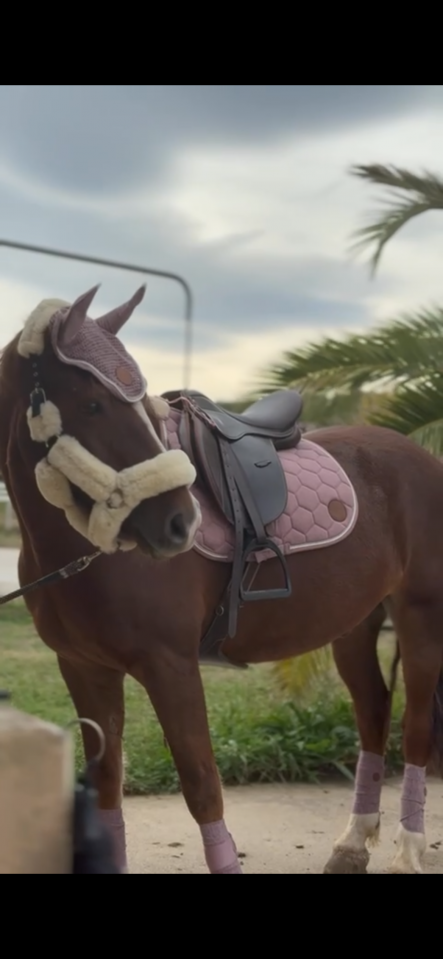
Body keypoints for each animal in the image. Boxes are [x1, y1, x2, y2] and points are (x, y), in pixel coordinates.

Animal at [1, 282, 442, 876]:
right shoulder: (84, 669)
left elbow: (202, 784)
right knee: (373, 714)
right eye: (92, 403)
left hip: (420, 617)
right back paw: (350, 845)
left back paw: (408, 849)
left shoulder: (171, 666)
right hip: (354, 624)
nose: (179, 522)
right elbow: (109, 787)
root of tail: (422, 458)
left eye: (137, 405)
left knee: (414, 728)